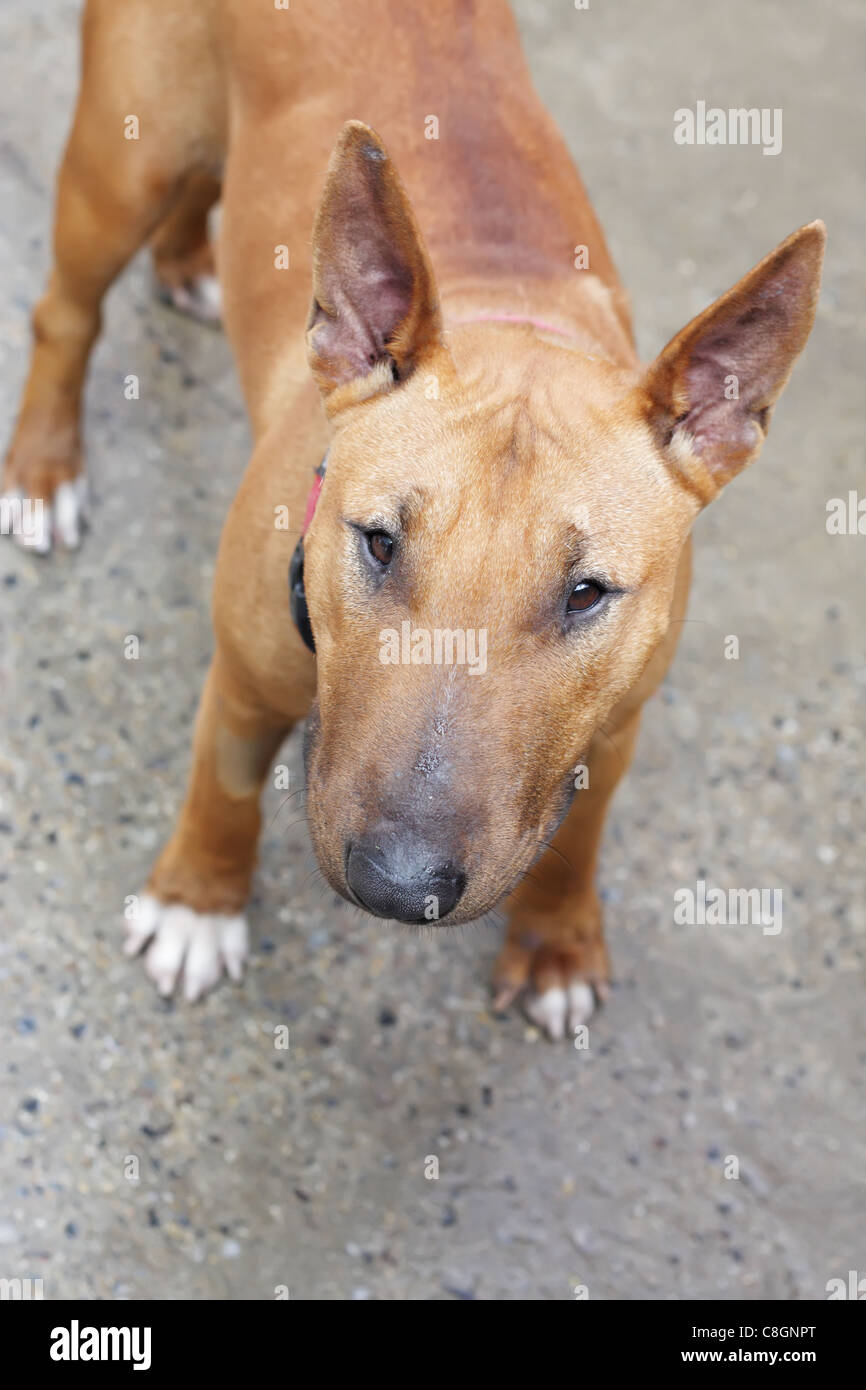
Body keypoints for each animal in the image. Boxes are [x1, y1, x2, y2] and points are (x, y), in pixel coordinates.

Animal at [5, 0, 828, 1034]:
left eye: (587, 593)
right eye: (379, 542)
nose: (399, 888)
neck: (514, 318)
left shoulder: (614, 724)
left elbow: (581, 837)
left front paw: (557, 946)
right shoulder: (242, 677)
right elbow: (224, 791)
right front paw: (198, 903)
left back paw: (190, 260)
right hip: (122, 166)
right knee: (66, 310)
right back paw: (43, 470)